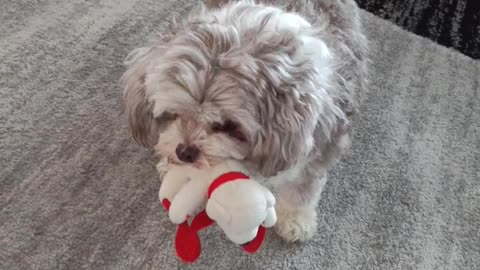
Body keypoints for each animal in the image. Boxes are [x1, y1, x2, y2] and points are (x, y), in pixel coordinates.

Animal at [121, 0, 368, 243]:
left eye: (228, 126)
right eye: (173, 113)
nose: (185, 153)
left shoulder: (321, 144)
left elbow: (302, 190)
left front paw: (295, 219)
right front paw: (169, 162)